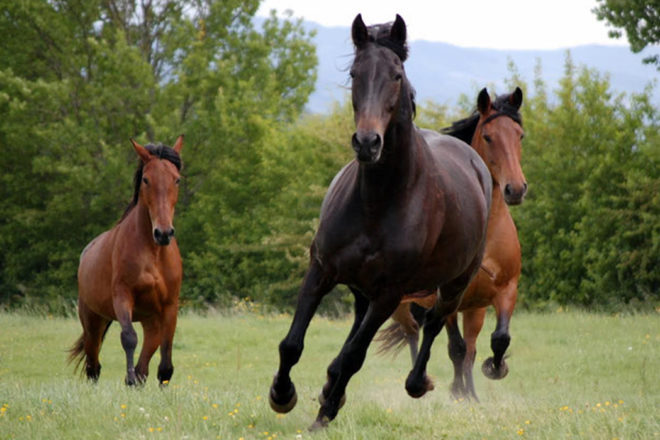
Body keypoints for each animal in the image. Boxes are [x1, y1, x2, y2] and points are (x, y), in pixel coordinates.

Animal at [69, 136, 184, 386]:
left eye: (177, 179)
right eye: (146, 179)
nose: (163, 233)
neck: (153, 252)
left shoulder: (170, 306)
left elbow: (165, 361)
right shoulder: (123, 296)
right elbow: (129, 337)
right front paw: (128, 380)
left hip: (151, 322)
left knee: (144, 366)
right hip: (92, 320)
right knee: (93, 365)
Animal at [268, 14, 492, 429]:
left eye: (397, 75)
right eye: (354, 73)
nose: (368, 142)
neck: (377, 201)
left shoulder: (390, 293)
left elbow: (355, 356)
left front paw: (323, 414)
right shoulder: (321, 269)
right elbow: (292, 344)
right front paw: (282, 394)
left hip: (455, 281)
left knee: (435, 322)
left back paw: (415, 383)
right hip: (363, 289)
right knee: (362, 326)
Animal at [377, 87, 526, 401]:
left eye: (520, 135)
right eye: (488, 136)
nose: (516, 188)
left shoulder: (504, 292)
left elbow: (496, 340)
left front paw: (491, 372)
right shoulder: (446, 299)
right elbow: (455, 348)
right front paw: (459, 393)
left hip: (472, 308)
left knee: (462, 344)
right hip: (400, 304)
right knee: (412, 331)